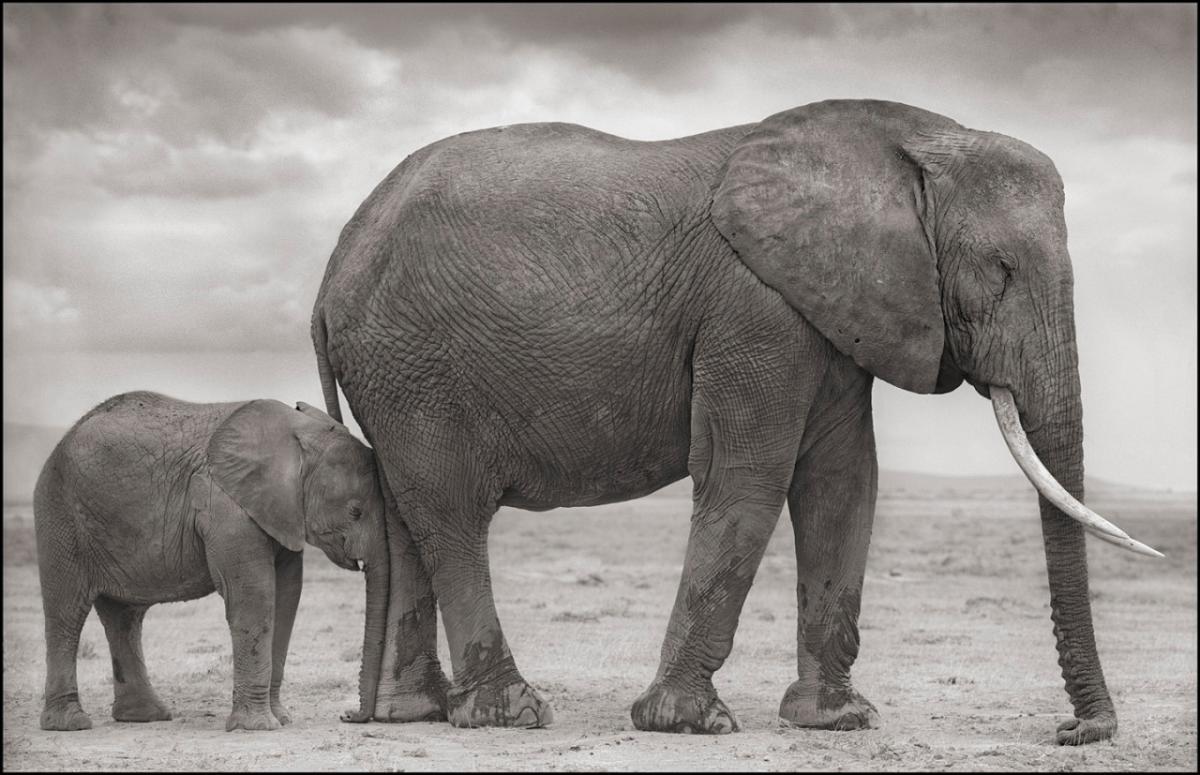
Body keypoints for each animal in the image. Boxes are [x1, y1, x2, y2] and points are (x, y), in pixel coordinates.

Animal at [35, 395, 388, 734]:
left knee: (124, 618)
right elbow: (253, 599)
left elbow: (286, 599)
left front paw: (280, 719)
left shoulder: (282, 513)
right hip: (60, 514)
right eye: (355, 511)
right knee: (67, 612)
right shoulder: (225, 505)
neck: (297, 432)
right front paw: (257, 727)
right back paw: (70, 724)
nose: (348, 715)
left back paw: (145, 717)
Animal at [314, 100, 1156, 743]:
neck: (903, 140)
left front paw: (837, 721)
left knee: (403, 517)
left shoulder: (827, 314)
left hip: (395, 374)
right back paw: (512, 713)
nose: (1073, 731)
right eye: (1000, 271)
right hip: (413, 367)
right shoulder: (756, 311)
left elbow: (843, 485)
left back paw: (416, 712)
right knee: (451, 515)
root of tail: (331, 272)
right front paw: (688, 724)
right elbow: (748, 478)